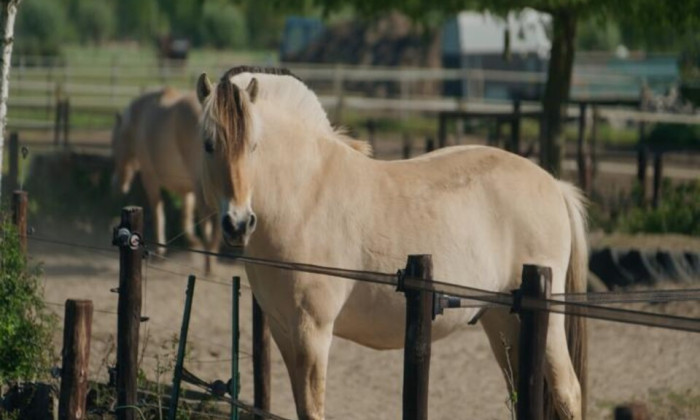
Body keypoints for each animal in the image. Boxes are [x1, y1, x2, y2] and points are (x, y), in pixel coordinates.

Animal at [111, 87, 220, 258]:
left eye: (114, 143)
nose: (116, 184)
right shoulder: (186, 188)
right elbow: (185, 217)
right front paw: (194, 243)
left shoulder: (150, 178)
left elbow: (158, 213)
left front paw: (160, 250)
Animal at [196, 66, 588, 420]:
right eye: (208, 145)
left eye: (254, 146)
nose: (238, 223)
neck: (304, 194)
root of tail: (554, 184)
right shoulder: (282, 330)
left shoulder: (312, 331)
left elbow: (312, 409)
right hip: (503, 321)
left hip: (546, 324)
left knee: (568, 393)